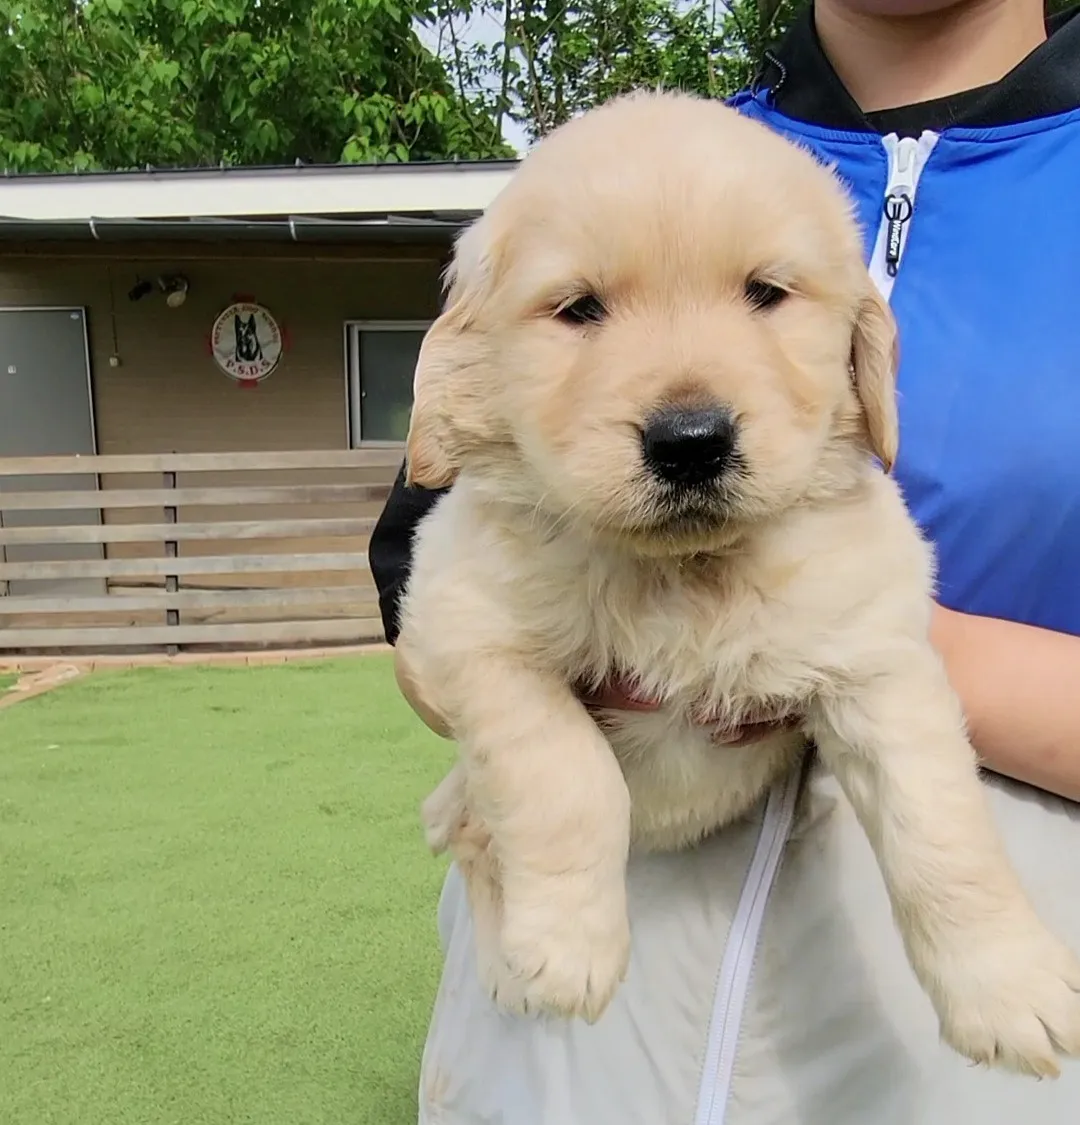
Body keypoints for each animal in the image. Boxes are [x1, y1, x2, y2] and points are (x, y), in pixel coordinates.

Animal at [393, 90, 1080, 1080]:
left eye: (765, 293)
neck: (688, 573)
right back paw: (507, 957)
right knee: (469, 831)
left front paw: (1010, 987)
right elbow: (568, 776)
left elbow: (941, 830)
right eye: (578, 309)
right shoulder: (462, 623)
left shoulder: (876, 659)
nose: (690, 442)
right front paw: (564, 948)